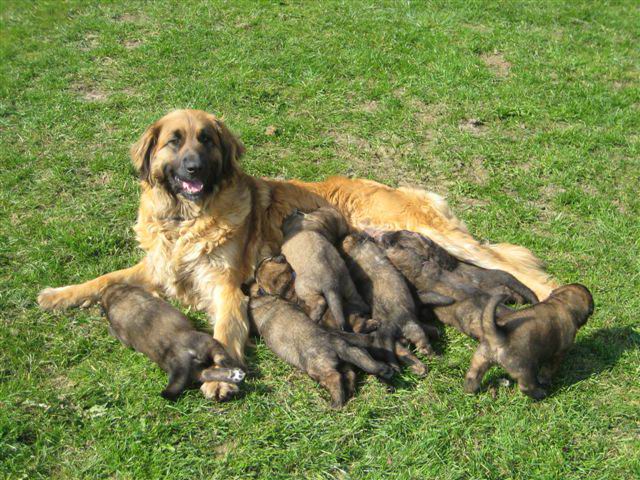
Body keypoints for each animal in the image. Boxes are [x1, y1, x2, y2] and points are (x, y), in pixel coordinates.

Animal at [100, 284, 245, 402]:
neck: (117, 295)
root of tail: (178, 354)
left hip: (199, 355)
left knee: (215, 366)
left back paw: (235, 373)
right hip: (204, 344)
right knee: (218, 361)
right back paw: (235, 371)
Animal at [248, 262, 392, 408]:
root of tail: (333, 343)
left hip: (318, 368)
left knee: (335, 377)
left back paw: (335, 403)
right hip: (352, 353)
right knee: (356, 369)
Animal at [464, 284, 596, 400]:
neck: (562, 302)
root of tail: (497, 336)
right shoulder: (557, 354)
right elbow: (548, 370)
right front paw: (545, 381)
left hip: (480, 360)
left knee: (472, 376)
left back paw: (470, 390)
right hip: (526, 369)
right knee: (526, 387)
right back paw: (541, 394)